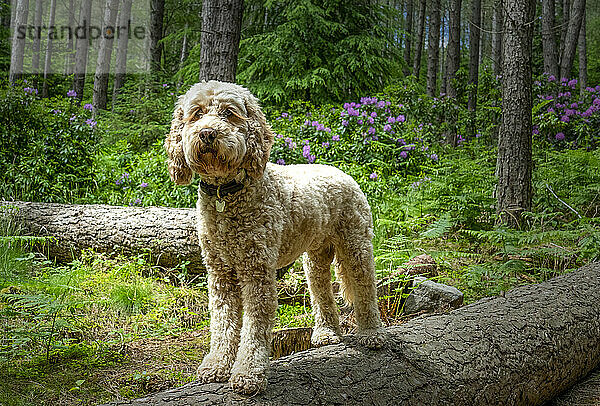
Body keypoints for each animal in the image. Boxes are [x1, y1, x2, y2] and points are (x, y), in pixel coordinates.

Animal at [164, 81, 384, 394]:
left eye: (229, 113)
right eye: (197, 114)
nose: (207, 133)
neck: (226, 193)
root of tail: (340, 172)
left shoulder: (257, 273)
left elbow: (254, 328)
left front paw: (248, 373)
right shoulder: (220, 273)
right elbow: (223, 322)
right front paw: (217, 364)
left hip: (356, 246)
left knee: (365, 289)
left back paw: (372, 333)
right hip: (315, 259)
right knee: (321, 293)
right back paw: (326, 332)